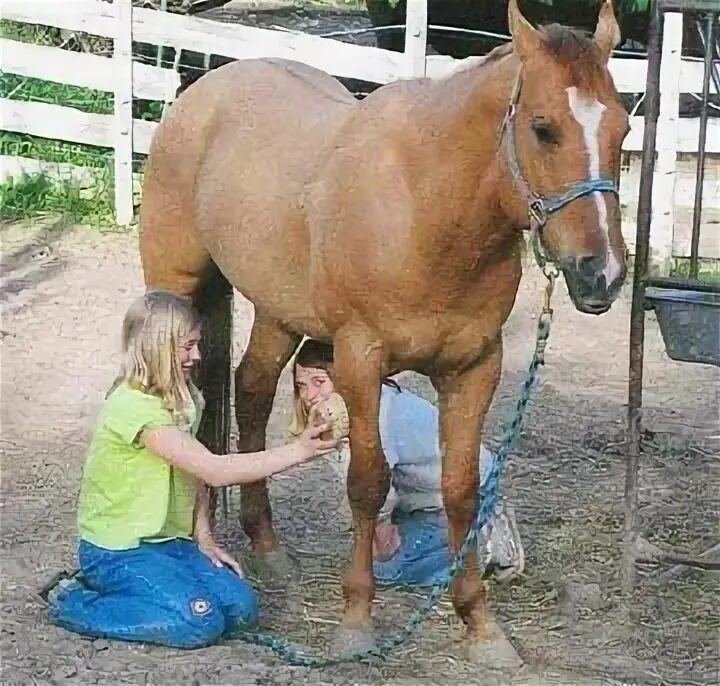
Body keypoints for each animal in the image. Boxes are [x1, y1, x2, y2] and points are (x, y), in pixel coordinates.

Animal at [136, 0, 632, 668]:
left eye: (622, 131)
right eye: (544, 128)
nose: (600, 272)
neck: (425, 209)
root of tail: (201, 91)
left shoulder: (475, 367)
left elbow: (461, 490)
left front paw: (481, 625)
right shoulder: (360, 359)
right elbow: (368, 485)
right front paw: (356, 621)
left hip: (279, 312)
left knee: (253, 389)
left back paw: (267, 549)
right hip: (175, 284)